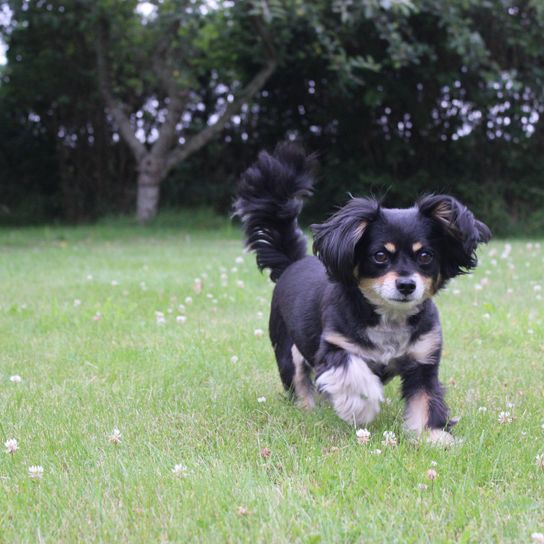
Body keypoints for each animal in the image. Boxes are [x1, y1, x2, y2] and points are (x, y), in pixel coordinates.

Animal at [233, 142, 488, 444]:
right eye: (380, 255)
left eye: (426, 255)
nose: (406, 285)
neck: (389, 319)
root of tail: (293, 263)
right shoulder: (335, 346)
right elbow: (352, 374)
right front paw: (361, 406)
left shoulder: (423, 359)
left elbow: (425, 400)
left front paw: (434, 438)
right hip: (286, 348)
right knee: (298, 383)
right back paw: (308, 409)